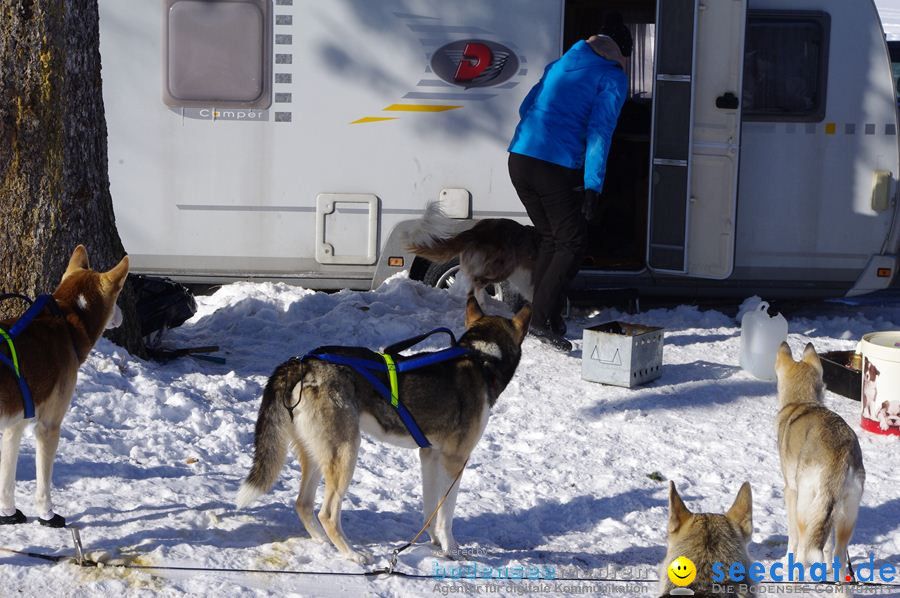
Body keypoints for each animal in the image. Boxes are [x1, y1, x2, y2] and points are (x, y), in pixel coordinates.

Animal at [0, 246, 128, 528]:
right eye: (118, 296)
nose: (122, 315)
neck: (67, 322)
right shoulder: (48, 427)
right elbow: (43, 485)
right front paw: (47, 514)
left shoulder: (15, 426)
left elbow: (6, 481)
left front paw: (9, 513)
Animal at [239, 298, 536, 564]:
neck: (482, 358)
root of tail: (303, 363)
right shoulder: (455, 461)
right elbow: (445, 515)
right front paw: (451, 549)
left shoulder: (429, 456)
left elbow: (431, 508)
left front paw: (433, 542)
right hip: (346, 452)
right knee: (327, 514)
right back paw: (352, 554)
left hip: (318, 453)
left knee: (302, 503)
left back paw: (324, 543)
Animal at [772, 344, 864, 584]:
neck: (803, 402)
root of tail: (840, 454)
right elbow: (826, 546)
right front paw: (826, 567)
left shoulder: (790, 492)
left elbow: (793, 538)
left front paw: (785, 561)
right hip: (844, 518)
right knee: (838, 556)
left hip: (805, 506)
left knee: (803, 551)